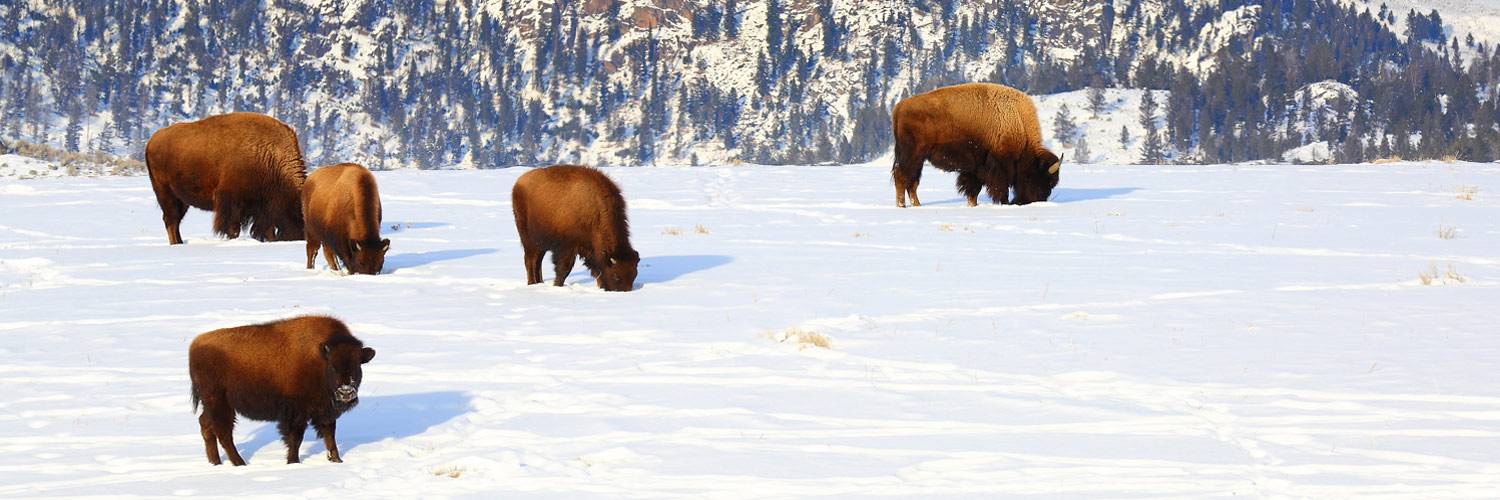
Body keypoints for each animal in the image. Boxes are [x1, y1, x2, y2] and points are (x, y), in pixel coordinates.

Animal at [144, 113, 307, 244]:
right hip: (166, 194)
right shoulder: (231, 202)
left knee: (175, 221)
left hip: (182, 200)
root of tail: (152, 140)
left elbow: (266, 229)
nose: (301, 237)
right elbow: (233, 229)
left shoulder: (262, 208)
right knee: (171, 220)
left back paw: (180, 243)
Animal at [187, 315, 378, 462]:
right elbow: (296, 439)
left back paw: (216, 462)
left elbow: (330, 436)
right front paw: (293, 462)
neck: (319, 358)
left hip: (215, 405)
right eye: (332, 366)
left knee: (206, 425)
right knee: (223, 433)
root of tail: (195, 345)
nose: (346, 392)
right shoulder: (296, 413)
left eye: (357, 366)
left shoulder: (325, 411)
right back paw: (240, 464)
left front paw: (337, 460)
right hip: (219, 403)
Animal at [510, 163, 639, 289]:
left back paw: (539, 282)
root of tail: (518, 183)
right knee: (530, 260)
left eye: (634, 275)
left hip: (540, 244)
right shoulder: (567, 247)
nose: (623, 291)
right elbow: (564, 269)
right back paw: (532, 283)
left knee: (537, 262)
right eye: (616, 276)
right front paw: (557, 285)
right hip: (528, 239)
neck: (595, 212)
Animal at [894, 82, 1062, 207]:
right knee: (902, 177)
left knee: (912, 182)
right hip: (912, 155)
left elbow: (973, 189)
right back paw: (902, 205)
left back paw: (916, 205)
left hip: (919, 159)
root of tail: (900, 106)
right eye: (1039, 178)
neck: (1018, 123)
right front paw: (1004, 203)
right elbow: (1000, 189)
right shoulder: (998, 166)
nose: (1035, 201)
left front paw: (972, 205)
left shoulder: (975, 168)